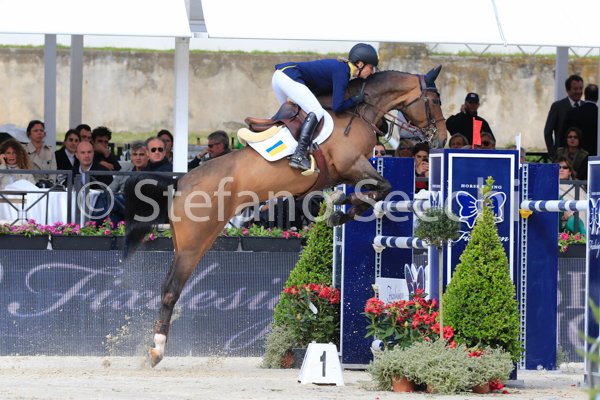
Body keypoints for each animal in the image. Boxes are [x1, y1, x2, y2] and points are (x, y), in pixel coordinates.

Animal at [123, 66, 447, 367]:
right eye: (435, 99)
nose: (441, 139)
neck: (359, 110)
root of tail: (181, 183)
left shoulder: (347, 171)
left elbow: (374, 190)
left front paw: (340, 204)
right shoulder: (353, 164)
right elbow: (381, 187)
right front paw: (340, 211)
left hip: (185, 242)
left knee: (167, 286)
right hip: (194, 243)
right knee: (170, 290)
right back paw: (157, 350)